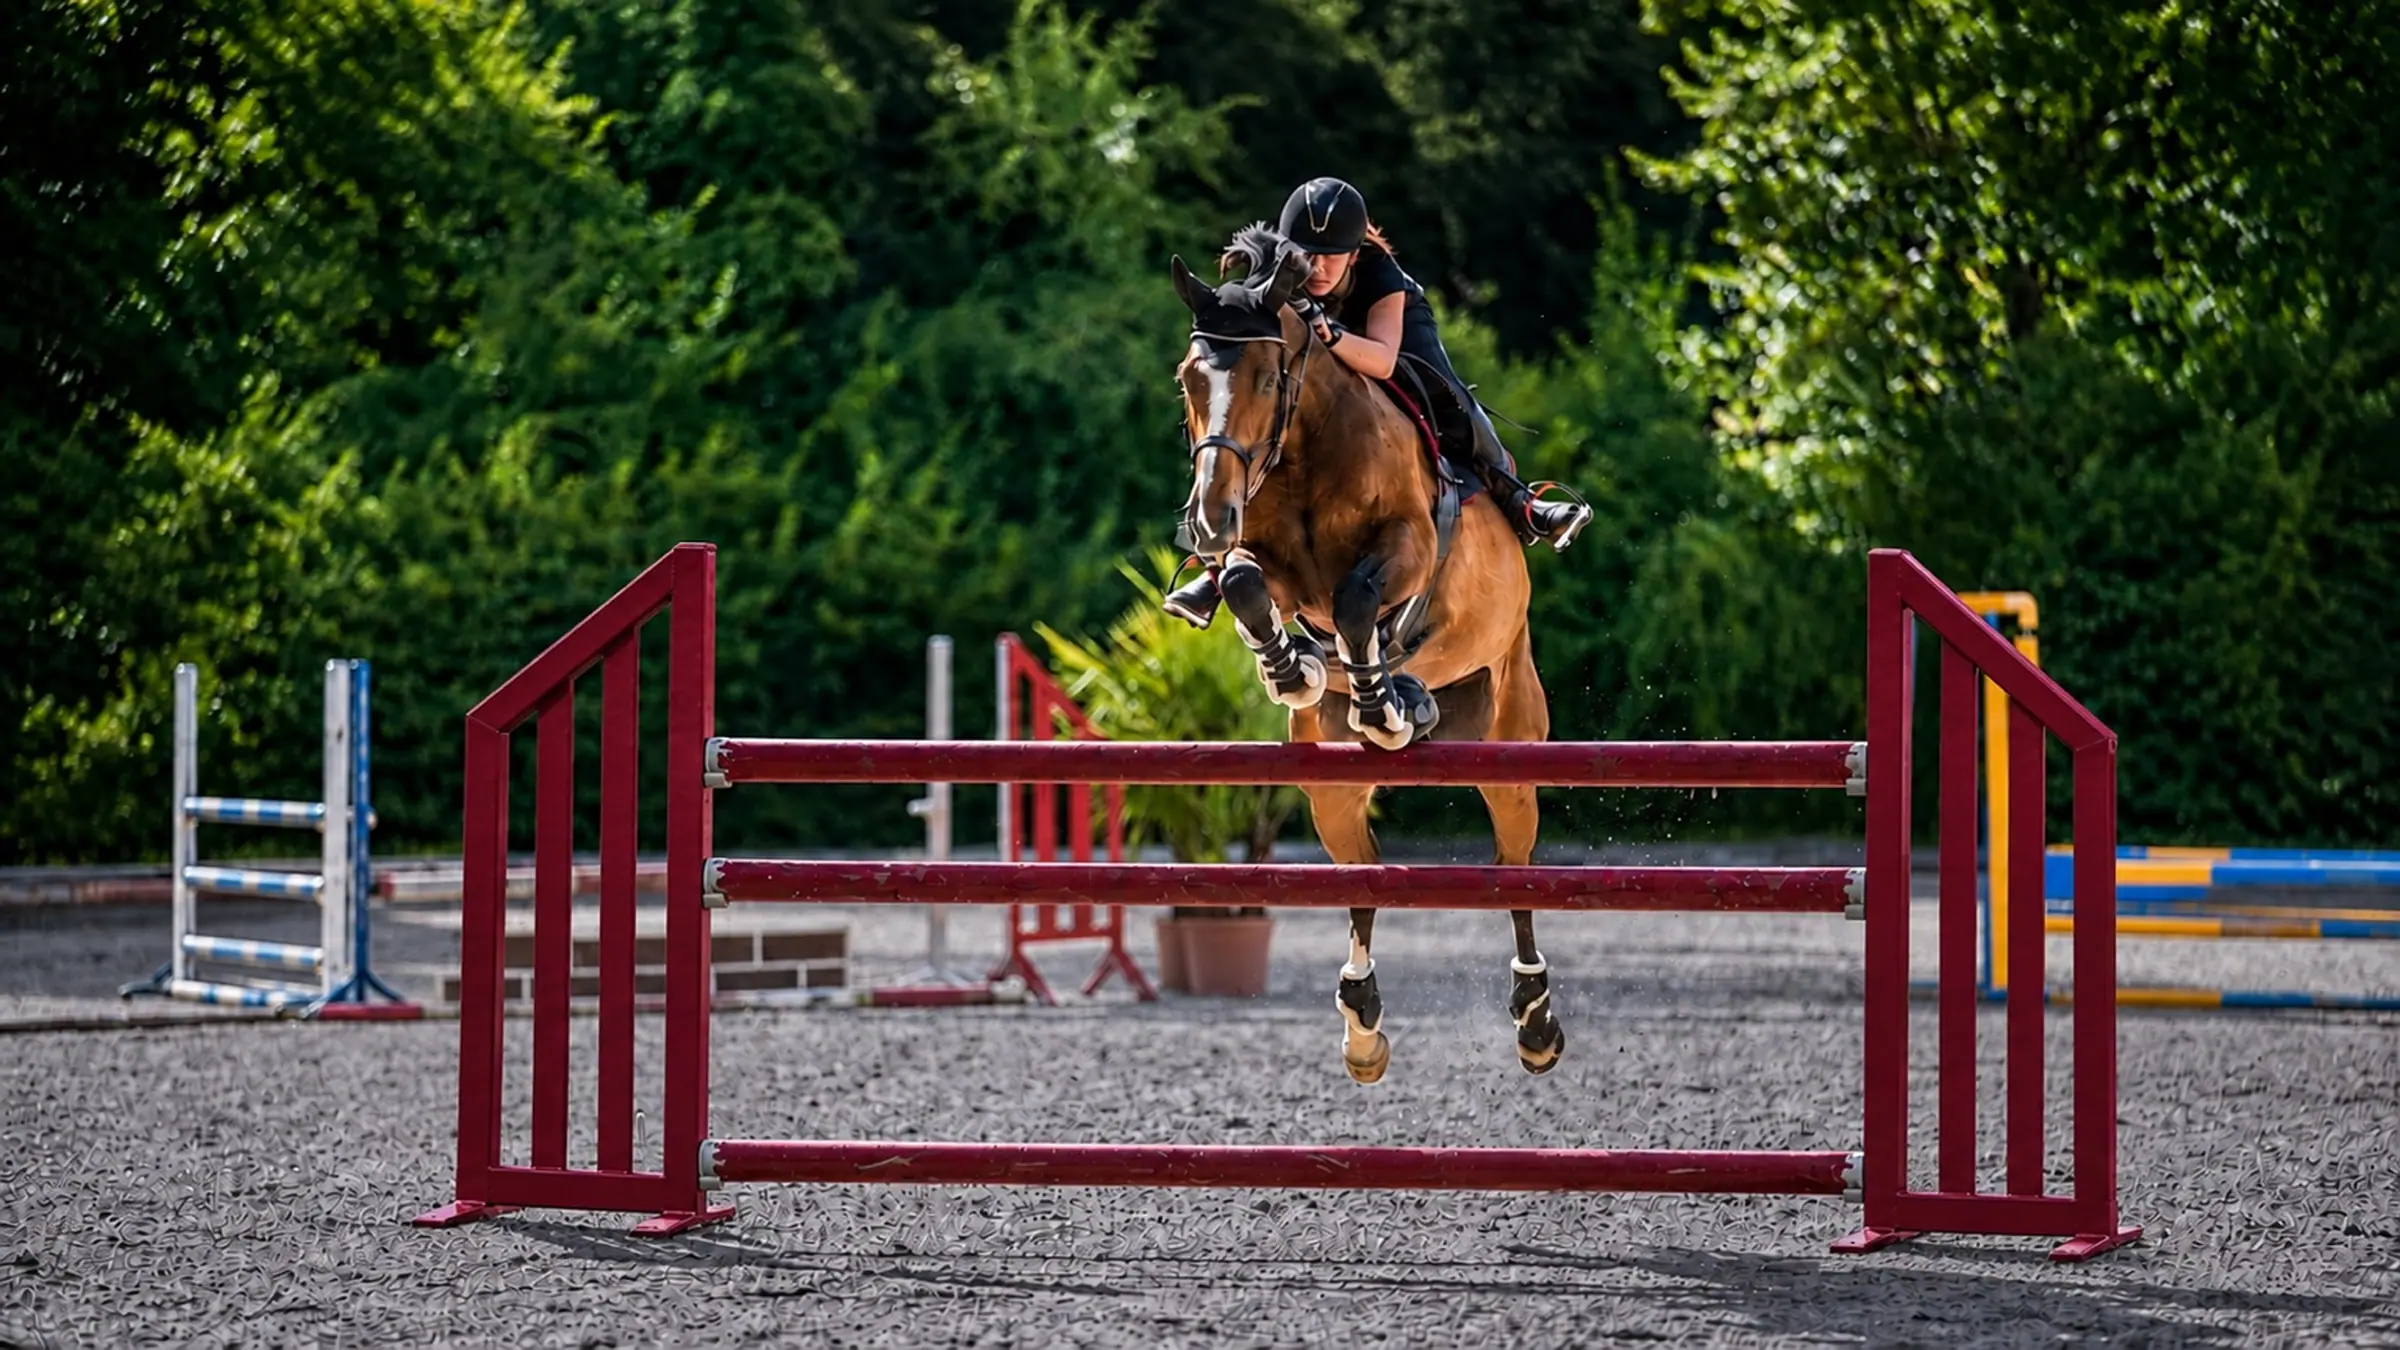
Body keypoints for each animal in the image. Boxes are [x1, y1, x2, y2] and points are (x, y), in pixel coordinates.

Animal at [1168, 230, 1567, 1083]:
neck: (1303, 453)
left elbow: (1358, 599)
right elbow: (1246, 580)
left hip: (1509, 744)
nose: (1208, 517)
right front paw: (1292, 668)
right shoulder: (1261, 555)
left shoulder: (1409, 548)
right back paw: (1361, 1023)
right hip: (1330, 791)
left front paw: (1376, 702)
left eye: (1264, 376)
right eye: (1188, 378)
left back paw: (1536, 1018)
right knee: (1362, 880)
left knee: (1514, 870)